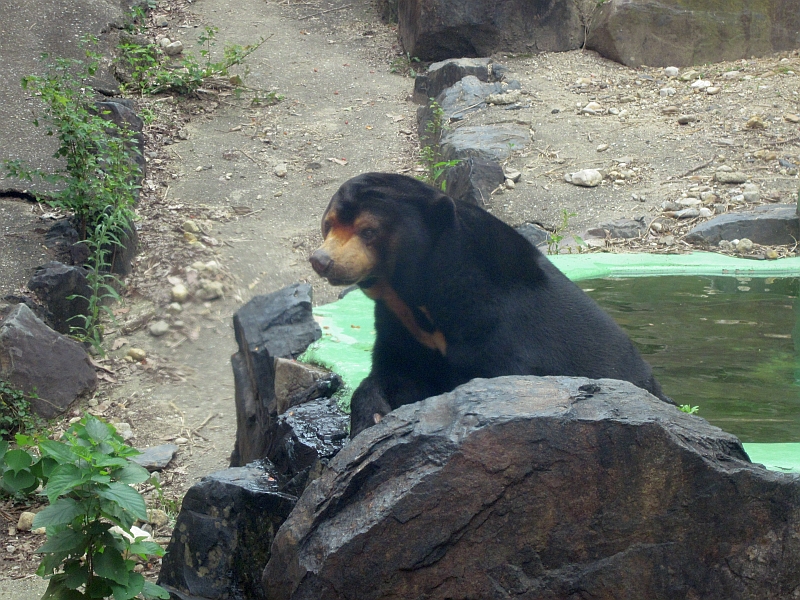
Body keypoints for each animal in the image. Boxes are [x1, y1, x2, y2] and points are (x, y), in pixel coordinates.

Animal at [310, 172, 672, 438]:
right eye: (329, 223)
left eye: (368, 230)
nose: (322, 260)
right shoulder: (402, 327)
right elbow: (395, 374)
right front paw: (371, 416)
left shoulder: (504, 327)